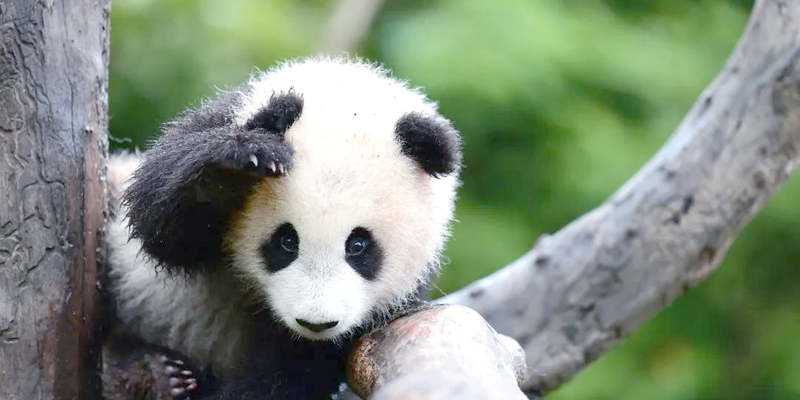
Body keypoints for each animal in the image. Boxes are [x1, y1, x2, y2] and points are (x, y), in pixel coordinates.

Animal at [101, 56, 462, 400]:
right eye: (287, 241)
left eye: (358, 246)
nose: (316, 322)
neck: (340, 90)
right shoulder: (225, 116)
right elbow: (157, 216)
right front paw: (239, 165)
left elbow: (297, 372)